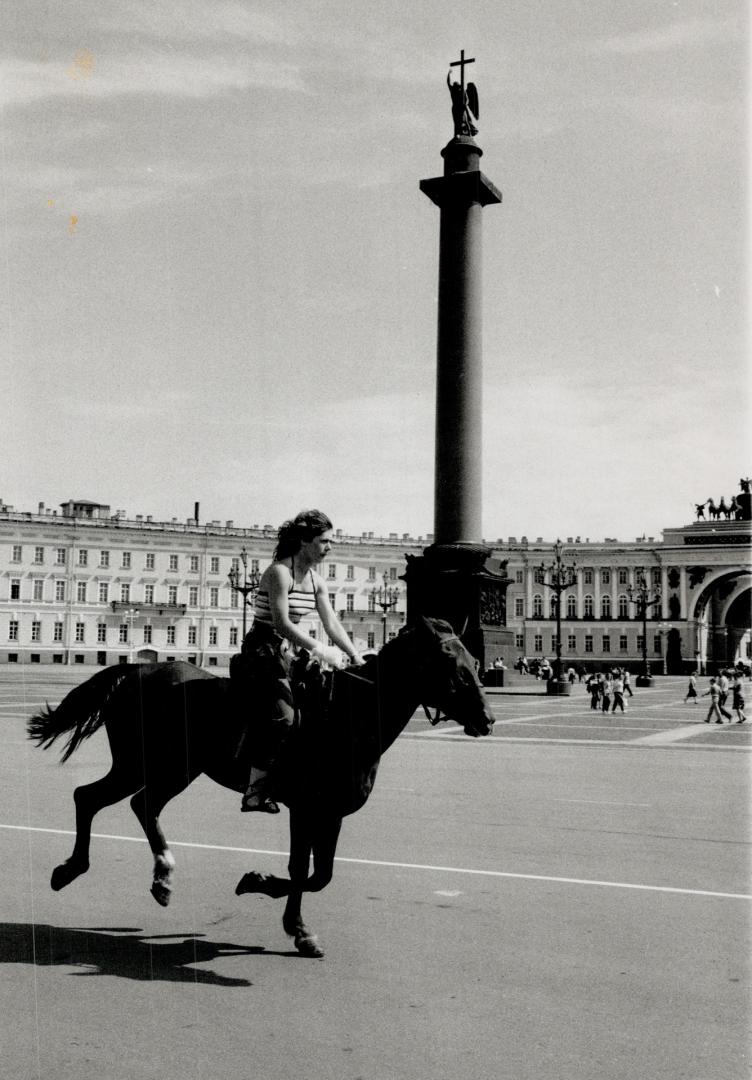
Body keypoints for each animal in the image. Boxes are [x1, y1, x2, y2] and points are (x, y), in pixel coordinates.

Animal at [30, 622, 492, 959]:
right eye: (450, 663)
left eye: (475, 660)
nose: (487, 719)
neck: (345, 717)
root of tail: (136, 670)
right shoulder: (305, 809)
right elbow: (302, 871)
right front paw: (267, 894)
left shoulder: (331, 813)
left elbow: (319, 874)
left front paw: (291, 920)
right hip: (145, 765)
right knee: (92, 798)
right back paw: (74, 870)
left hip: (171, 771)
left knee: (134, 804)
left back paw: (160, 877)